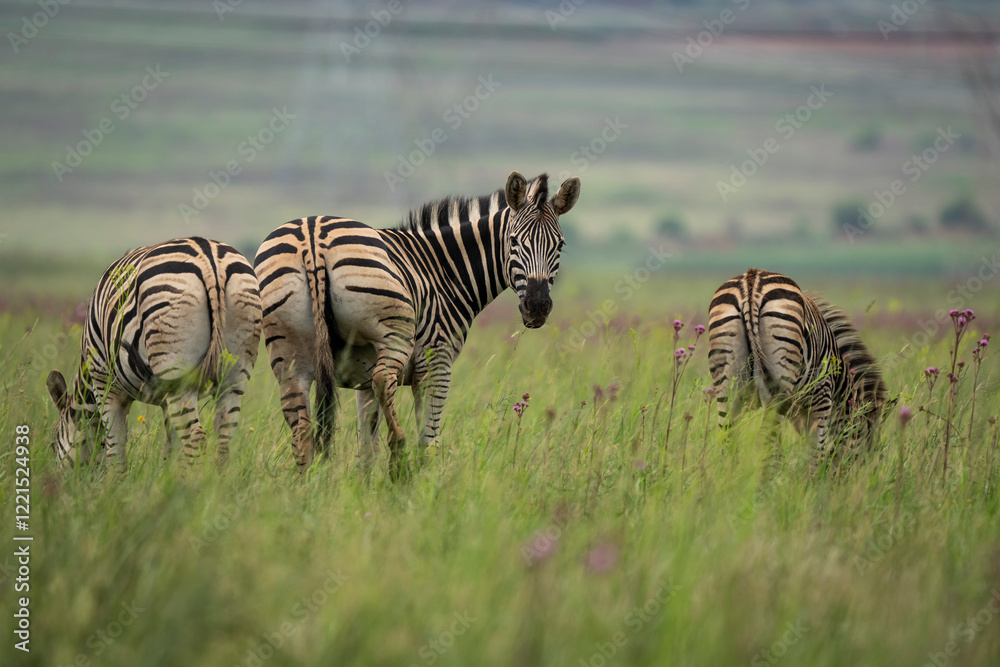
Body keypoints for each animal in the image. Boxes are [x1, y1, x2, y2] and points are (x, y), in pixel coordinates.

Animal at [46, 237, 262, 470]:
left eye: (52, 444)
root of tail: (209, 258)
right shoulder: (165, 401)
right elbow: (172, 447)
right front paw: (167, 476)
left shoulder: (106, 385)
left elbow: (116, 449)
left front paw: (115, 479)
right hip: (234, 373)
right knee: (223, 437)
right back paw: (212, 480)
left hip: (176, 367)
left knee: (196, 437)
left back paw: (192, 481)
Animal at [254, 171, 580, 477]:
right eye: (513, 242)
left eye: (560, 246)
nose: (537, 307)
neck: (445, 272)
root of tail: (313, 236)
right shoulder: (437, 364)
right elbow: (428, 440)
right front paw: (424, 484)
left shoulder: (361, 376)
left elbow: (366, 446)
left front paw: (361, 490)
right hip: (394, 335)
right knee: (385, 380)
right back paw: (398, 454)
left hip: (289, 353)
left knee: (302, 432)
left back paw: (308, 487)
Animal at [707, 268, 886, 470]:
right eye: (869, 447)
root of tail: (751, 282)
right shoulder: (821, 397)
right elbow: (817, 450)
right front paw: (814, 477)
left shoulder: (798, 412)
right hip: (779, 382)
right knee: (766, 439)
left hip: (727, 383)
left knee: (728, 436)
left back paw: (730, 475)